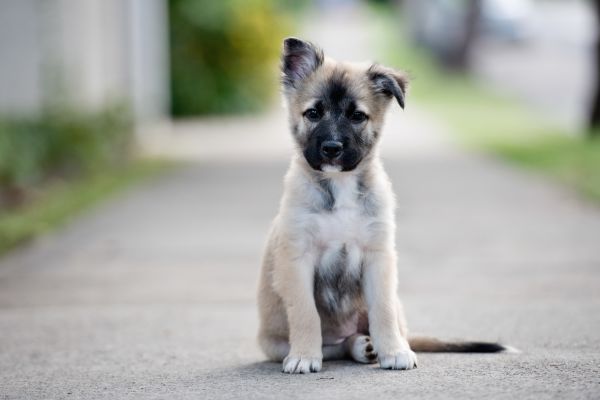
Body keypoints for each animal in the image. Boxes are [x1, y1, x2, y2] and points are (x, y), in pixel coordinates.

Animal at [255, 38, 508, 376]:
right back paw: (355, 346)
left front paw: (395, 352)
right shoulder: (297, 259)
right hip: (274, 343)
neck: (340, 185)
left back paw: (373, 346)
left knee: (381, 330)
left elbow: (382, 311)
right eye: (313, 113)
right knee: (334, 347)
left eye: (357, 116)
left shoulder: (378, 257)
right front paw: (304, 356)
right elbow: (306, 313)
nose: (332, 148)